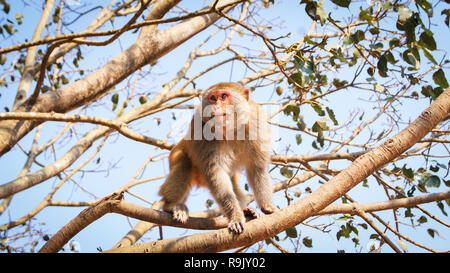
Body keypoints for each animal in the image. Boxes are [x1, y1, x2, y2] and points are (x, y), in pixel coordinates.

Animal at [158, 82, 278, 233]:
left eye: (224, 96)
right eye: (213, 98)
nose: (215, 105)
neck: (230, 130)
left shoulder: (256, 124)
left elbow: (257, 168)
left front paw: (267, 207)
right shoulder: (201, 128)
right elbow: (216, 173)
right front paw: (235, 217)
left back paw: (245, 210)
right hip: (177, 154)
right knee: (183, 165)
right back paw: (171, 206)